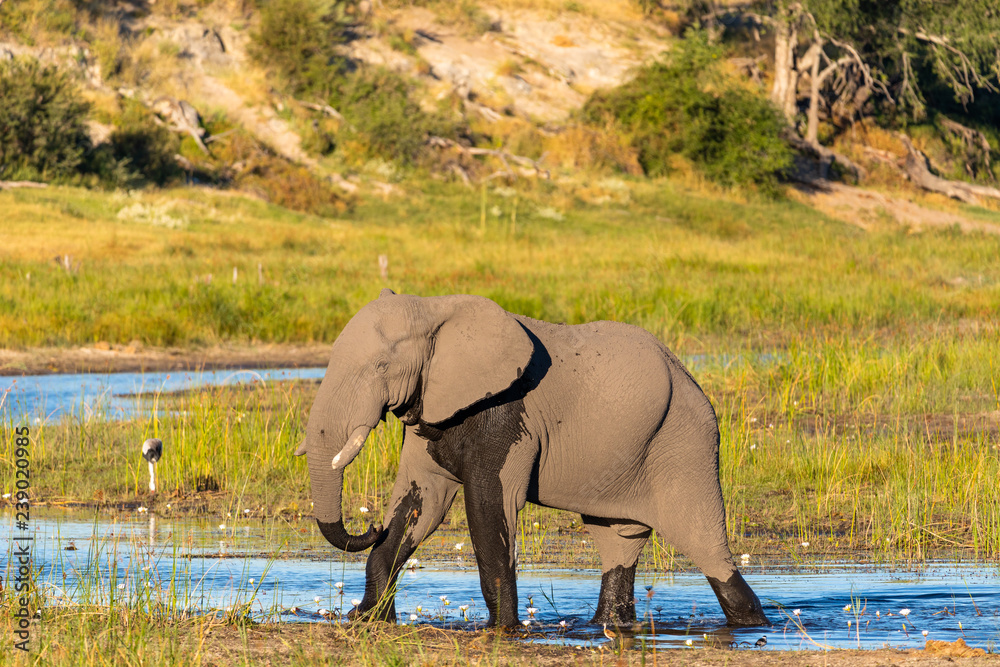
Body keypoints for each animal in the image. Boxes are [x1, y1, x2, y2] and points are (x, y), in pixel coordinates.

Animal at [297, 289, 769, 629]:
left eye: (381, 367)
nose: (369, 527)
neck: (436, 309)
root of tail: (689, 377)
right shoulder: (431, 405)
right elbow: (421, 502)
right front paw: (363, 619)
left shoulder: (506, 412)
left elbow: (489, 505)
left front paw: (501, 630)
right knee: (618, 539)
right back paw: (607, 626)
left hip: (685, 443)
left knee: (703, 542)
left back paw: (750, 624)